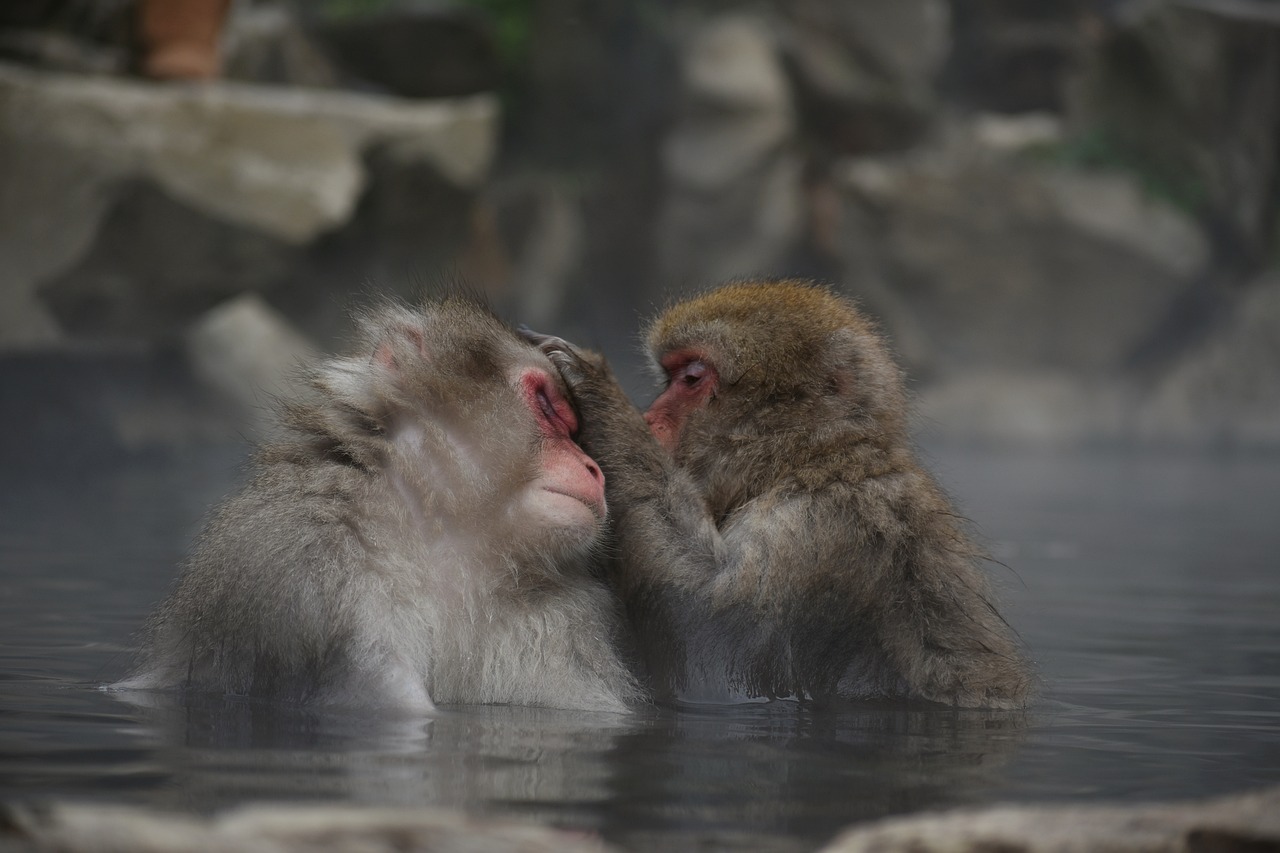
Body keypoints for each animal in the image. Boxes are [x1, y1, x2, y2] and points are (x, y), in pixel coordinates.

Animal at [120, 292, 640, 712]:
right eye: (548, 407)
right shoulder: (302, 566)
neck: (449, 538)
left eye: (577, 432)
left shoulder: (556, 627)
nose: (593, 468)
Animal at [524, 279, 1034, 701]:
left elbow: (709, 638)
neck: (809, 462)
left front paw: (595, 390)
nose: (649, 419)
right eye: (670, 378)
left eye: (692, 378)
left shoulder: (821, 527)